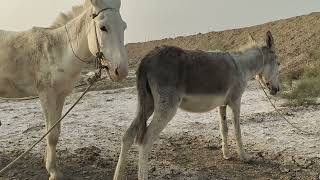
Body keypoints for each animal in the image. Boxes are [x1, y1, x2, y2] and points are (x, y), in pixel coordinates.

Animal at [0, 0, 127, 179]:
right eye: (103, 27)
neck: (58, 51)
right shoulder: (47, 95)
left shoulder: (60, 96)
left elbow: (56, 131)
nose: (121, 71)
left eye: (124, 26)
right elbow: (51, 135)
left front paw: (49, 164)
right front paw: (53, 172)